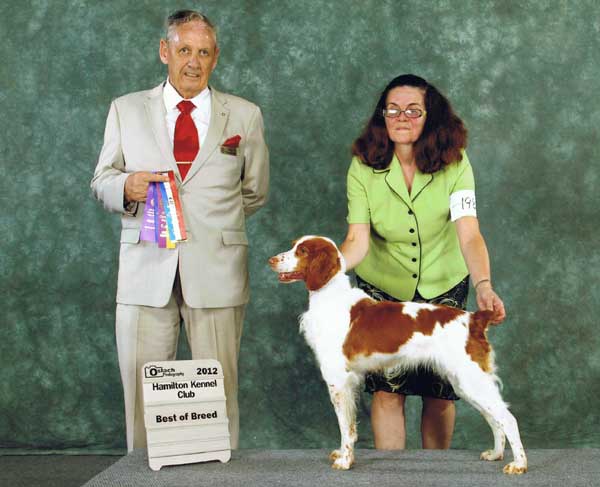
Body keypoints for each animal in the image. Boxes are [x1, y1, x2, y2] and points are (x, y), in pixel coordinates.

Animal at [270, 236, 528, 472]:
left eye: (302, 251)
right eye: (294, 246)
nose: (271, 260)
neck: (330, 298)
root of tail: (475, 319)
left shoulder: (338, 380)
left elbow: (344, 425)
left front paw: (344, 461)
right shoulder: (348, 383)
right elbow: (350, 425)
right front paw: (343, 454)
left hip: (471, 379)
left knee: (508, 418)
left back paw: (518, 464)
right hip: (464, 383)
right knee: (494, 419)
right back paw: (495, 454)